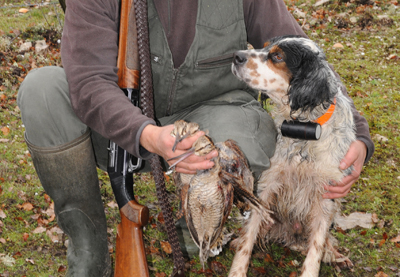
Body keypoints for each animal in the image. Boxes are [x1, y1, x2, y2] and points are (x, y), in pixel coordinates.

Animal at [230, 35, 354, 274]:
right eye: (265, 46)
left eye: (277, 56)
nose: (236, 55)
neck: (303, 129)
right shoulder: (267, 184)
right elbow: (248, 236)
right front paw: (237, 270)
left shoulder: (327, 194)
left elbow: (316, 248)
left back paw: (335, 255)